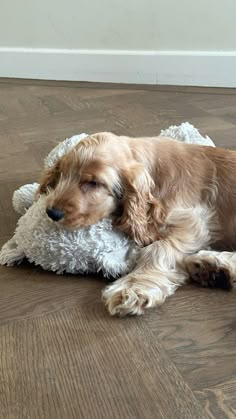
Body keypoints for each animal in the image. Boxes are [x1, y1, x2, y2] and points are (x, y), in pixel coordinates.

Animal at [38, 133, 236, 316]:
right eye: (62, 174)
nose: (52, 212)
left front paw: (132, 288)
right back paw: (212, 267)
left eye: (93, 183)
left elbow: (157, 248)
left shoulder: (191, 221)